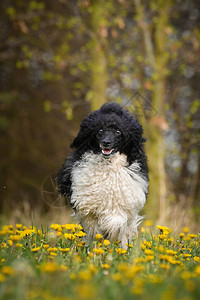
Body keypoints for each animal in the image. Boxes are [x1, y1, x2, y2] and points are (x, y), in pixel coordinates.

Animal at [56, 102, 148, 247]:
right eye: (100, 131)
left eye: (118, 132)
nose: (106, 143)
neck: (108, 168)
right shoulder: (88, 209)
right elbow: (93, 228)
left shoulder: (122, 207)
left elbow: (117, 223)